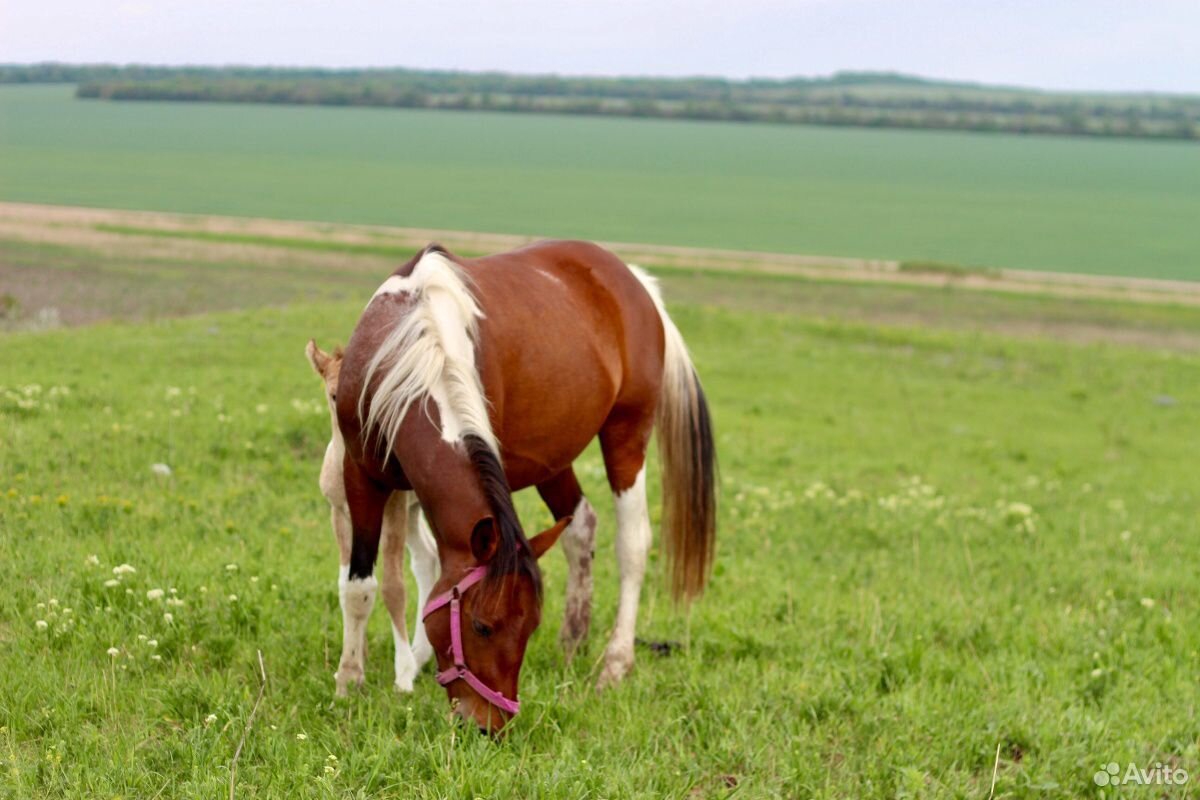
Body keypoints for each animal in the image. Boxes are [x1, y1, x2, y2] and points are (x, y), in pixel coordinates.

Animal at [333, 239, 715, 734]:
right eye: (481, 626)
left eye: (529, 627)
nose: (489, 726)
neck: (418, 347)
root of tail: (634, 281)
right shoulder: (362, 477)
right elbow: (360, 584)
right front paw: (350, 680)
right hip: (554, 459)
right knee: (580, 527)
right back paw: (573, 639)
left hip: (627, 436)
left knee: (632, 545)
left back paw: (615, 662)